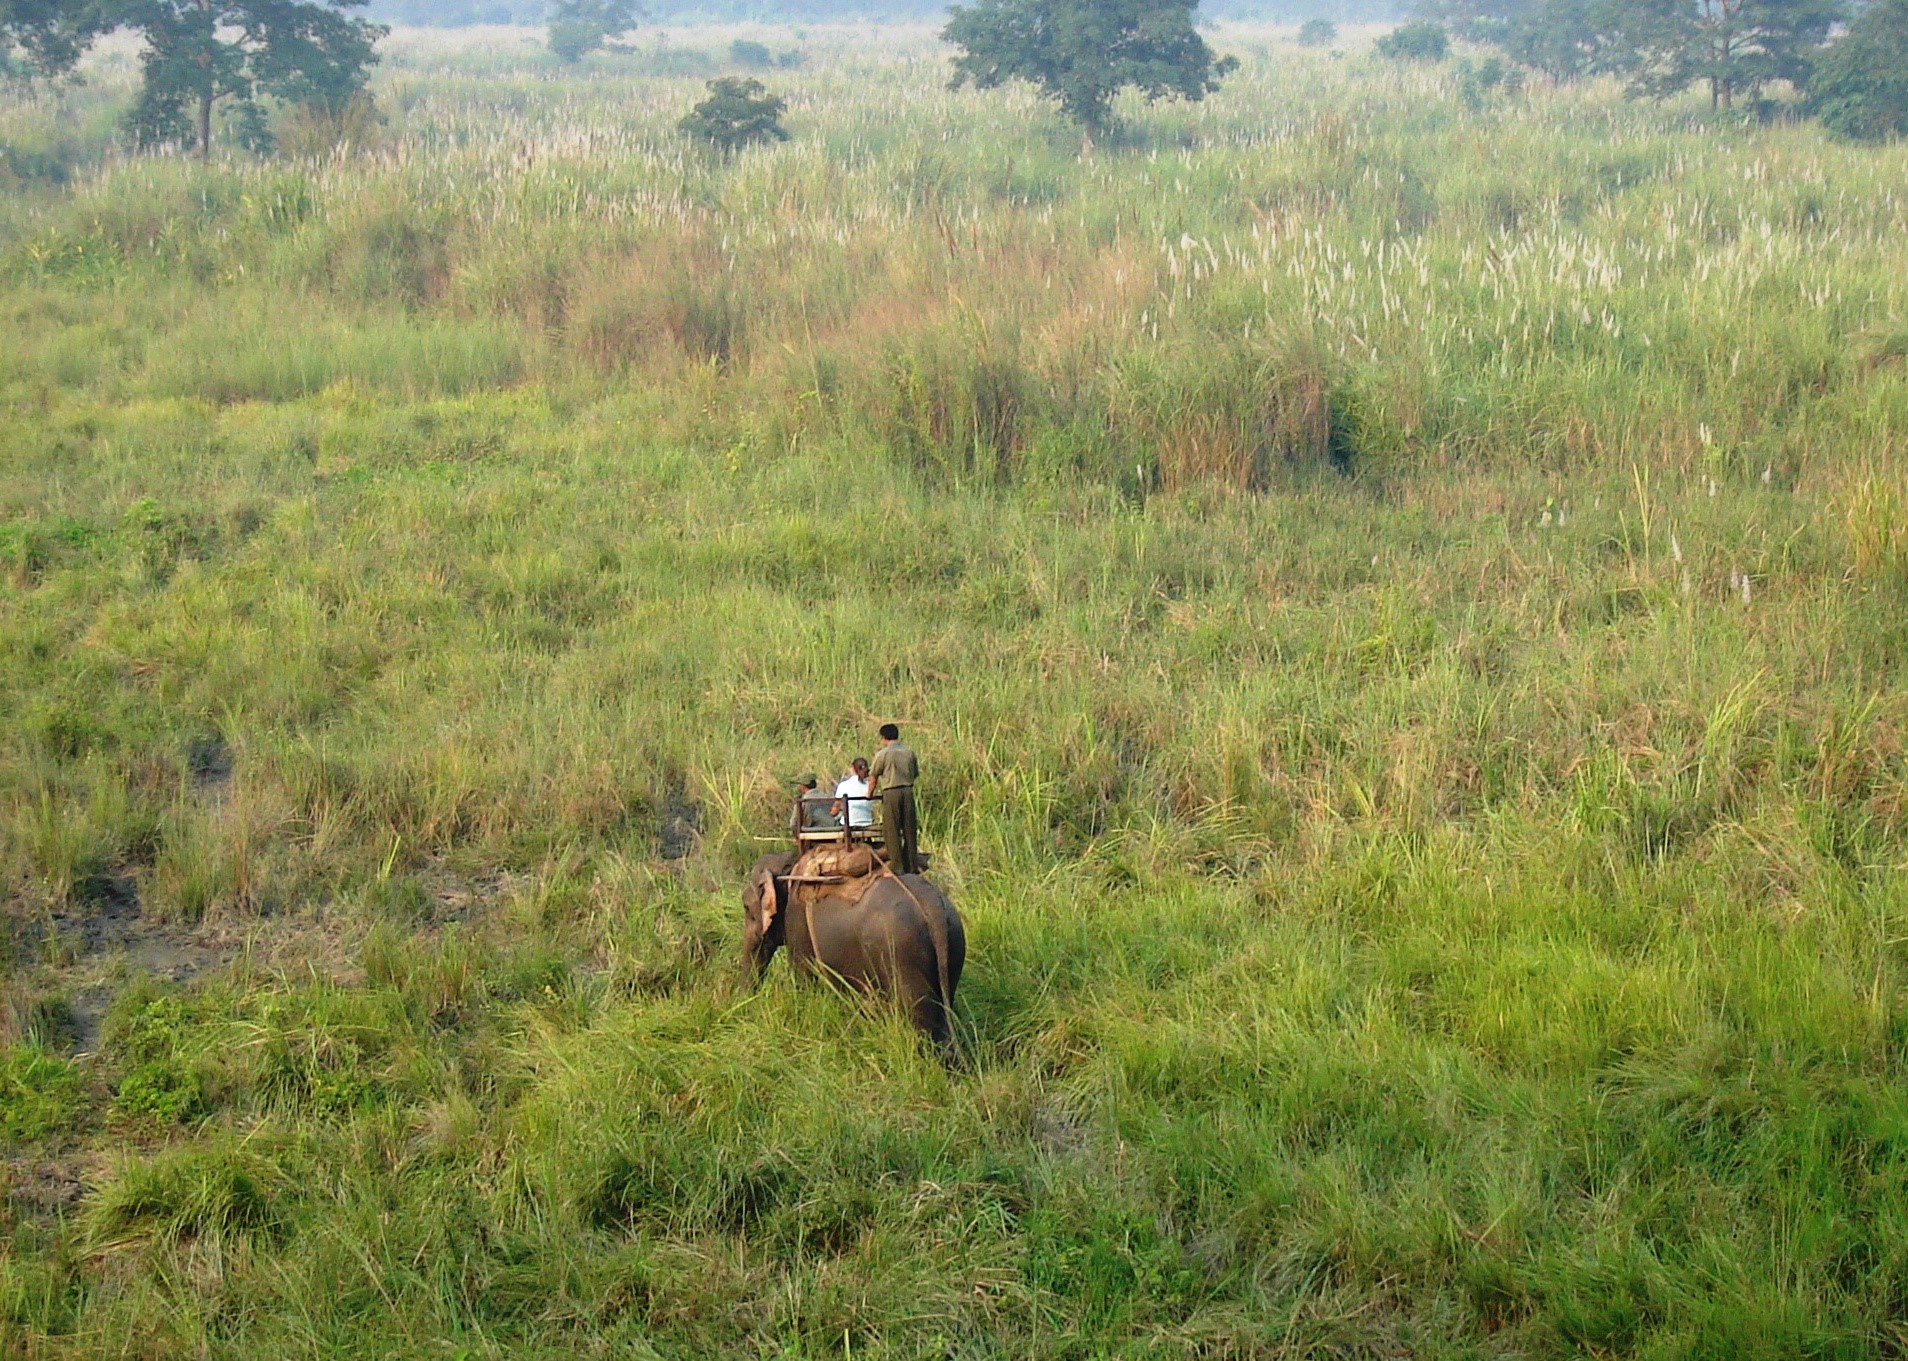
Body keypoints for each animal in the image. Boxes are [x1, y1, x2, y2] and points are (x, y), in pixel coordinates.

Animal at [742, 850, 966, 1053]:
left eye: (746, 907)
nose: (745, 1003)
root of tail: (933, 906)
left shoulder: (797, 923)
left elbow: (804, 978)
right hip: (953, 944)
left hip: (903, 954)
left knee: (919, 1016)